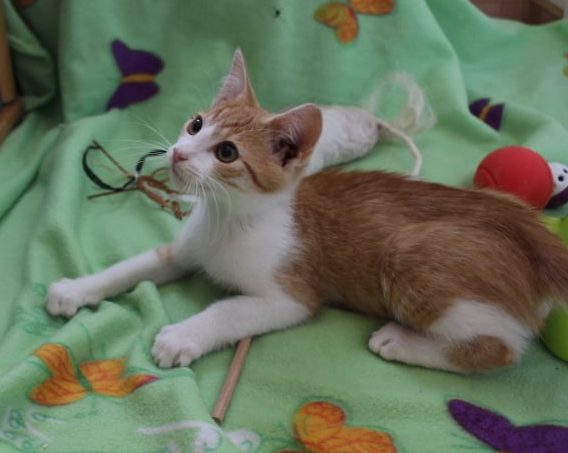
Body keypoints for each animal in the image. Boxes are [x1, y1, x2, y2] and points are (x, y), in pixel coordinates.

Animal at [47, 51, 568, 372]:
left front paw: (182, 337)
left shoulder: (291, 296)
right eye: (195, 124)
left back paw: (402, 342)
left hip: (411, 258)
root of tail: (533, 233)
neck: (227, 219)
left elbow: (231, 310)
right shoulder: (185, 250)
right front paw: (75, 289)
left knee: (503, 346)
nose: (177, 153)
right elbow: (137, 264)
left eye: (227, 153)